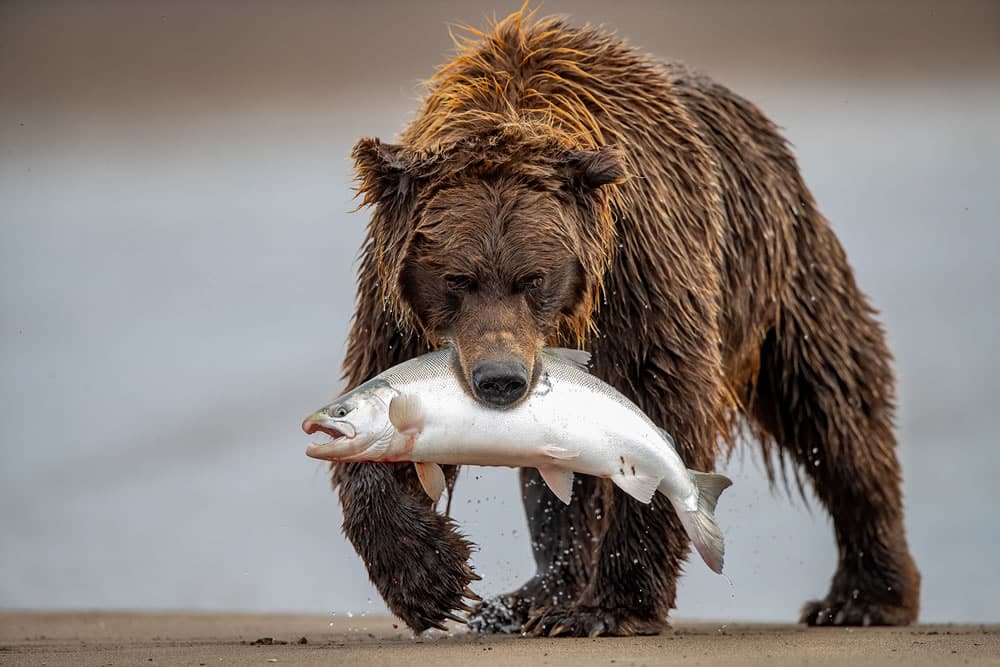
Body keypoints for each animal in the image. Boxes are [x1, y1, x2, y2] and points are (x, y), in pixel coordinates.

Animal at [330, 9, 920, 636]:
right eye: (456, 279)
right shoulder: (397, 303)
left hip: (779, 269)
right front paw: (432, 579)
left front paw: (610, 608)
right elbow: (377, 395)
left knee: (833, 403)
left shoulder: (641, 265)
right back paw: (530, 599)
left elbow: (665, 397)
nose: (501, 380)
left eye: (532, 277)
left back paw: (863, 596)